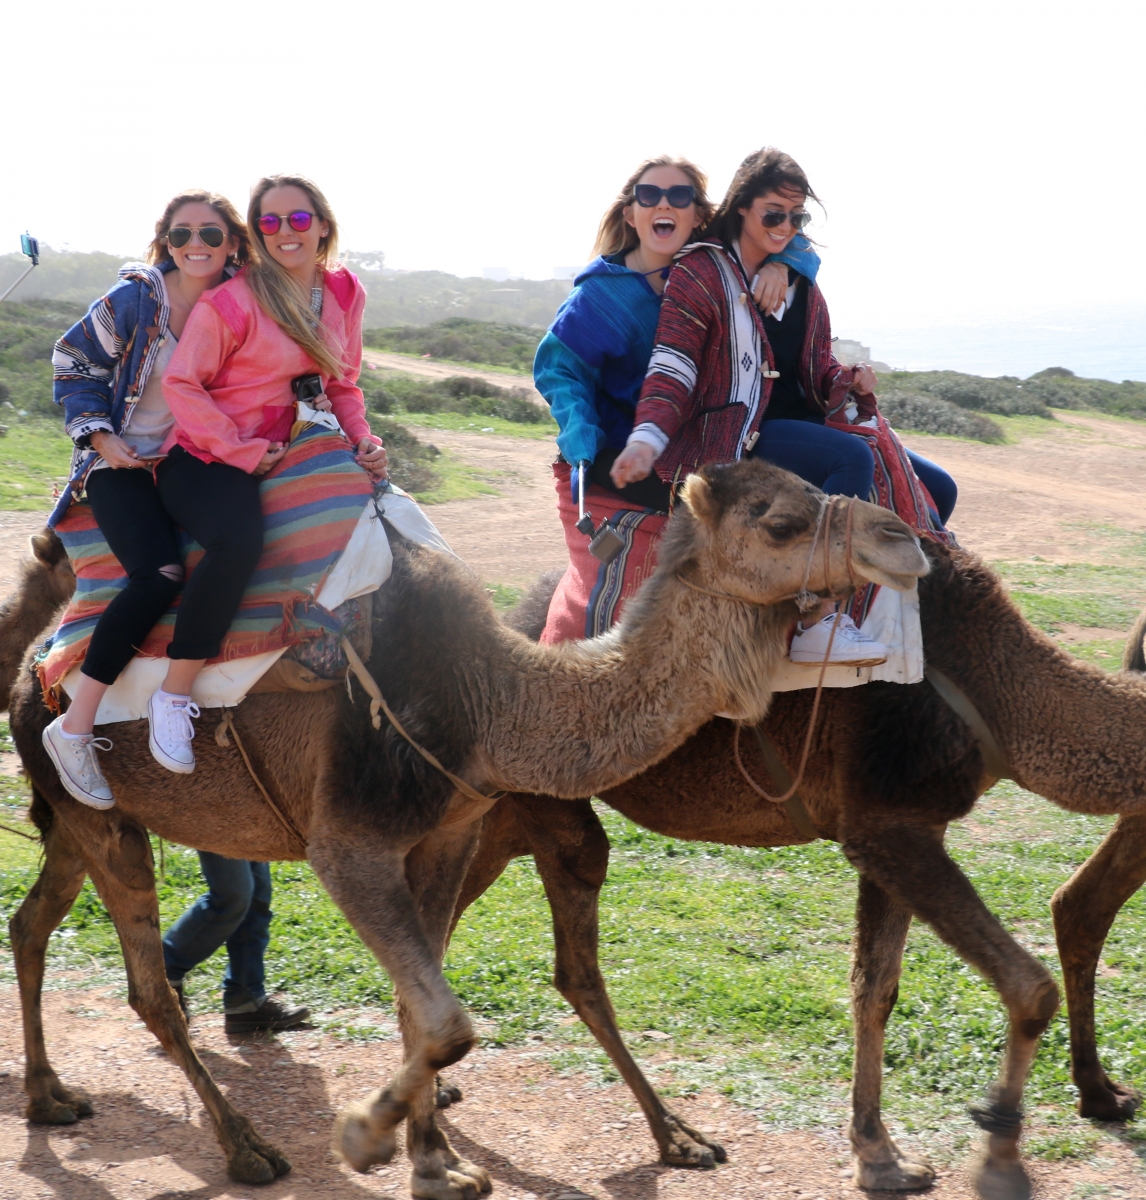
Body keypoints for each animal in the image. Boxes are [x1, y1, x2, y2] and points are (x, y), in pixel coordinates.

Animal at [2, 465, 931, 1200]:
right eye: (779, 520)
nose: (905, 540)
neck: (493, 702)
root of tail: (34, 667)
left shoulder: (449, 833)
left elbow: (425, 1011)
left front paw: (436, 1163)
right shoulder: (351, 843)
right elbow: (447, 1021)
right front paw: (367, 1135)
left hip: (82, 814)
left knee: (33, 920)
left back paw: (50, 1097)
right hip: (98, 812)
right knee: (148, 986)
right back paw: (246, 1148)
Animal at [441, 547, 1146, 1200]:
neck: (997, 689)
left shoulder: (898, 826)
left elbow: (875, 987)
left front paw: (880, 1157)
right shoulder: (889, 821)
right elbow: (1030, 988)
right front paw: (999, 1159)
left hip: (505, 808)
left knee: (456, 908)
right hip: (548, 801)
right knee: (572, 951)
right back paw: (676, 1138)